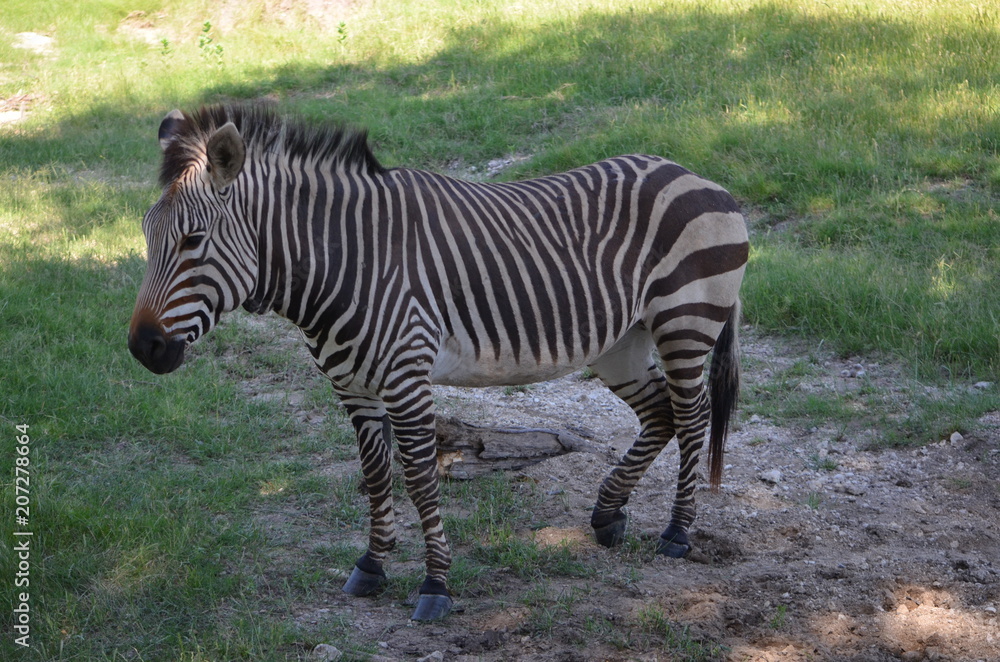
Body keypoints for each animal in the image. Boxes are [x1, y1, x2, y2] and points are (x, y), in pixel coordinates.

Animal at [128, 103, 749, 621]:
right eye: (146, 235)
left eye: (192, 240)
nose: (142, 349)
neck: (345, 261)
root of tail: (697, 175)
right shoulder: (351, 386)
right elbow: (377, 475)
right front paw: (372, 565)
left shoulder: (407, 379)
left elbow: (422, 479)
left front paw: (434, 586)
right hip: (622, 343)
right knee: (661, 414)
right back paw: (607, 514)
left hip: (684, 322)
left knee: (692, 418)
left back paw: (677, 533)